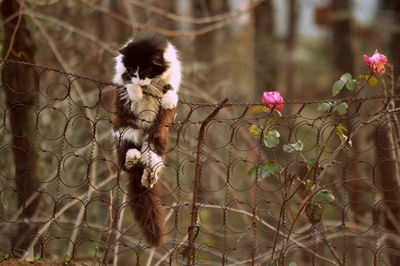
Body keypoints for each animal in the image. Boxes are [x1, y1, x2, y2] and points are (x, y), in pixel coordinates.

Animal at [112, 33, 181, 247]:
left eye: (146, 71)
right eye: (133, 71)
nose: (141, 83)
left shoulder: (173, 75)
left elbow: (171, 90)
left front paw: (168, 100)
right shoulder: (120, 73)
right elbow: (126, 82)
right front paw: (135, 92)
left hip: (155, 138)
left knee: (152, 162)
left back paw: (149, 175)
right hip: (126, 131)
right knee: (126, 162)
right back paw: (132, 157)